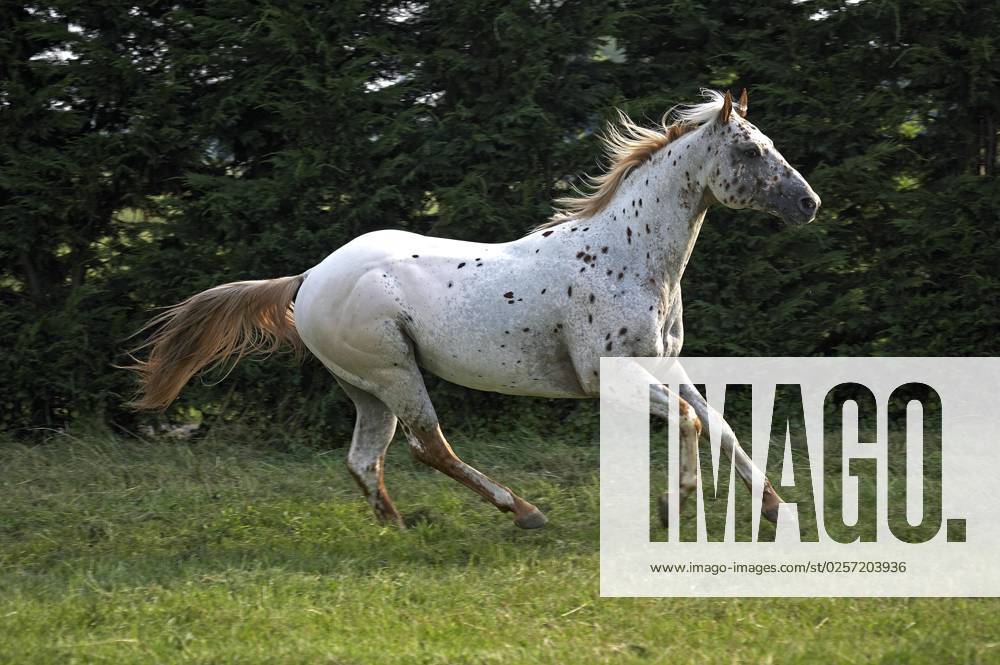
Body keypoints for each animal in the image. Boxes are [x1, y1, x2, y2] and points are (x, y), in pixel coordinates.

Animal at [128, 89, 821, 530]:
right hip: (394, 373)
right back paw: (523, 512)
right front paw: (673, 507)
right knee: (427, 448)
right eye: (751, 151)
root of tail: (308, 278)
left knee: (365, 458)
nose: (809, 203)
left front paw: (774, 508)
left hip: (366, 389)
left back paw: (398, 529)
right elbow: (689, 422)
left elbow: (719, 422)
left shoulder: (666, 363)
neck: (626, 256)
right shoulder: (608, 378)